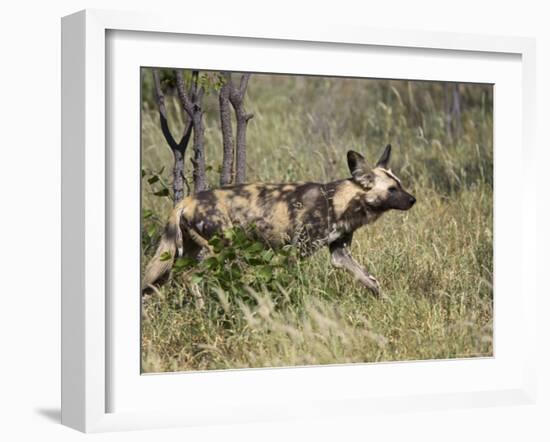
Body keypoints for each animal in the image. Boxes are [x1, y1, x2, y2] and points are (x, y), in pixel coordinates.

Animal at [144, 145, 416, 296]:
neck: (341, 201)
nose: (413, 200)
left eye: (400, 185)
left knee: (155, 284)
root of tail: (186, 200)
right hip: (217, 251)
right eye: (392, 189)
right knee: (188, 278)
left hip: (180, 255)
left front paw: (384, 301)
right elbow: (291, 283)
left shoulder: (340, 255)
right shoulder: (296, 251)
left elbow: (371, 281)